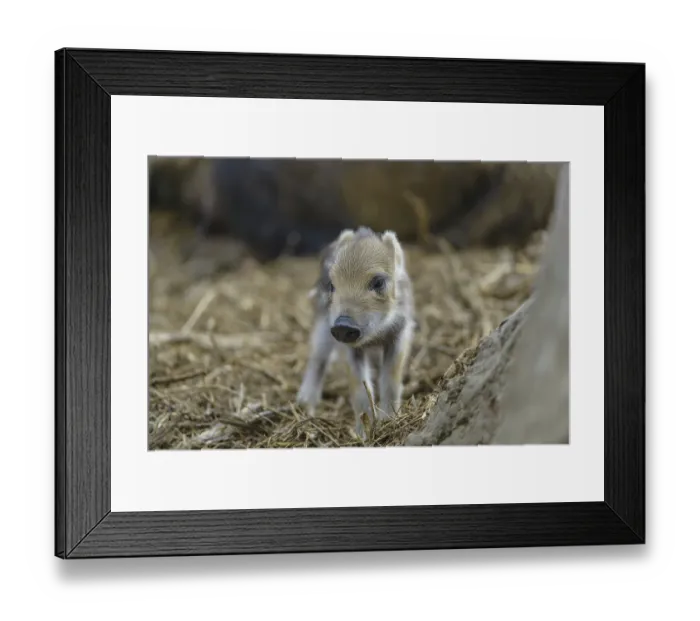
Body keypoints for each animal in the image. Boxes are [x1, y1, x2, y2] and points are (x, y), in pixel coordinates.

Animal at [296, 226, 415, 440]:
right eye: (332, 285)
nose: (343, 325)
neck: (375, 336)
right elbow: (359, 387)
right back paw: (305, 403)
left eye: (378, 283)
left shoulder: (401, 333)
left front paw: (389, 421)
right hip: (322, 326)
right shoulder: (345, 344)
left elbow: (391, 379)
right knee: (318, 359)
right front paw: (363, 436)